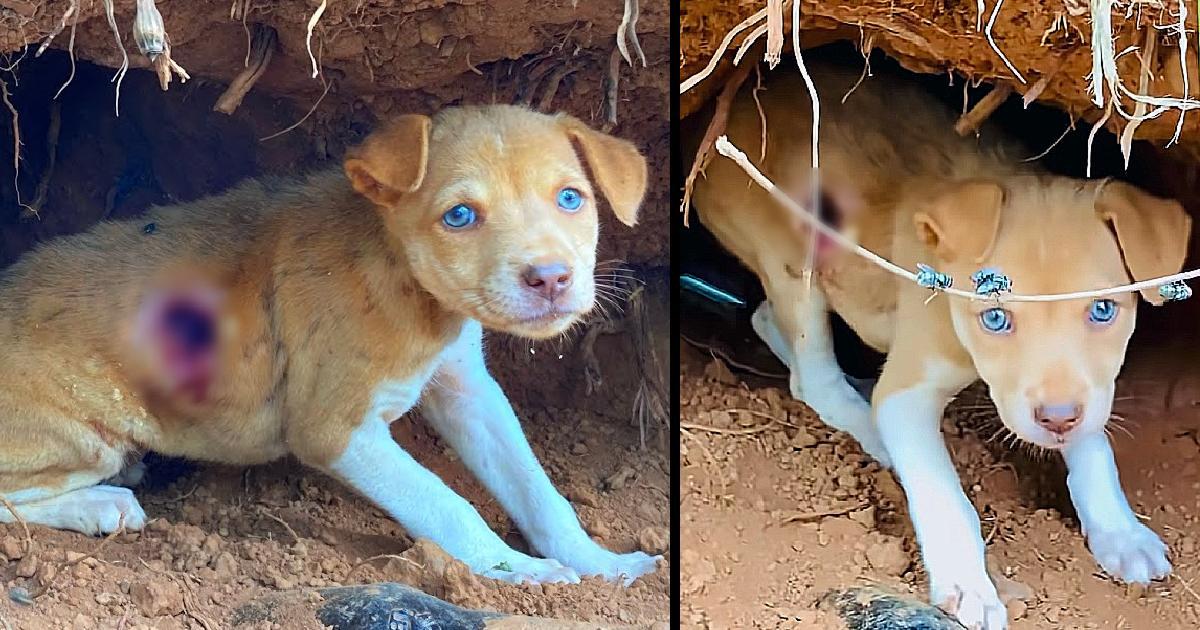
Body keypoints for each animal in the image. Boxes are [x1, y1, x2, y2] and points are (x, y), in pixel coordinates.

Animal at [0, 104, 662, 585]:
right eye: (459, 216)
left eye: (571, 198)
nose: (551, 279)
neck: (408, 286)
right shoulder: (335, 430)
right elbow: (446, 503)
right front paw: (521, 571)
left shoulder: (468, 390)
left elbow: (537, 488)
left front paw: (599, 562)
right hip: (81, 438)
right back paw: (98, 505)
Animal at [696, 65, 1190, 628]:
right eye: (995, 317)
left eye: (1104, 311)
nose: (1056, 419)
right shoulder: (907, 393)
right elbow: (945, 496)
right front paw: (967, 583)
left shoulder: (1087, 389)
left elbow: (1094, 443)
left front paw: (1121, 532)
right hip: (789, 257)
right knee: (811, 377)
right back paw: (872, 428)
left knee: (765, 320)